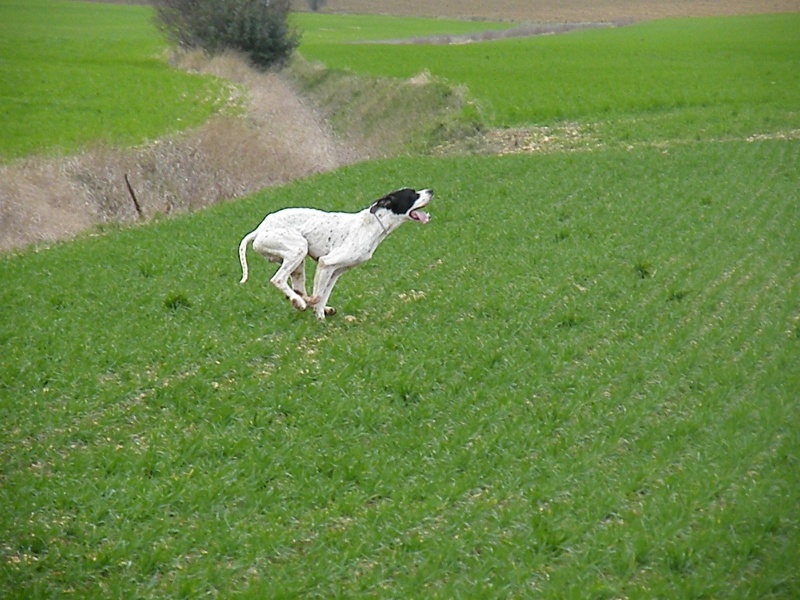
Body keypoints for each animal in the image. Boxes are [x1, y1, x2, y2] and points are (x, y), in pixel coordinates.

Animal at [239, 188, 432, 318]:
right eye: (412, 195)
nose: (431, 190)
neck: (373, 224)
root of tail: (259, 230)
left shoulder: (335, 271)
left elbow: (323, 296)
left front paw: (321, 315)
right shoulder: (326, 263)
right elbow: (319, 295)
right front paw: (318, 316)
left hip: (297, 262)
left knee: (298, 289)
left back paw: (302, 301)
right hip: (298, 248)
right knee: (278, 280)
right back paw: (300, 302)